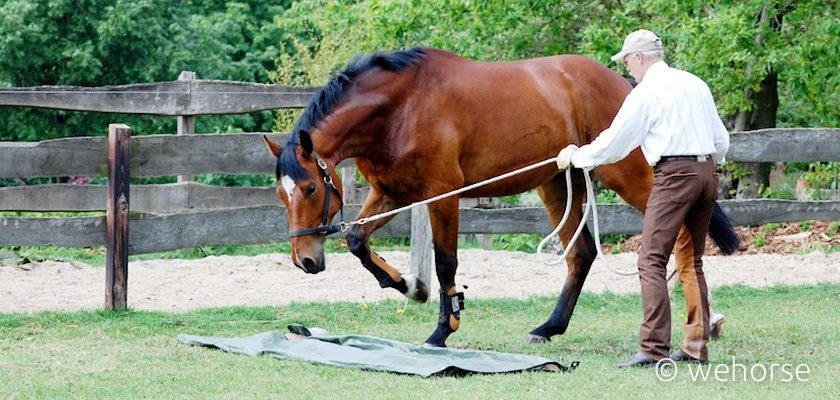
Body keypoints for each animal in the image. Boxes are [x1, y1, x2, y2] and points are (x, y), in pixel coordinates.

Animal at [260, 46, 736, 346]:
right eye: (281, 195)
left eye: (309, 188)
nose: (305, 260)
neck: (401, 107)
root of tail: (626, 85)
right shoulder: (391, 192)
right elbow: (358, 241)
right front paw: (410, 286)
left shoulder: (442, 195)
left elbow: (446, 263)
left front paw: (443, 330)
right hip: (556, 183)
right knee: (581, 253)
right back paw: (549, 327)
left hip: (627, 174)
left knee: (680, 240)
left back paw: (705, 322)